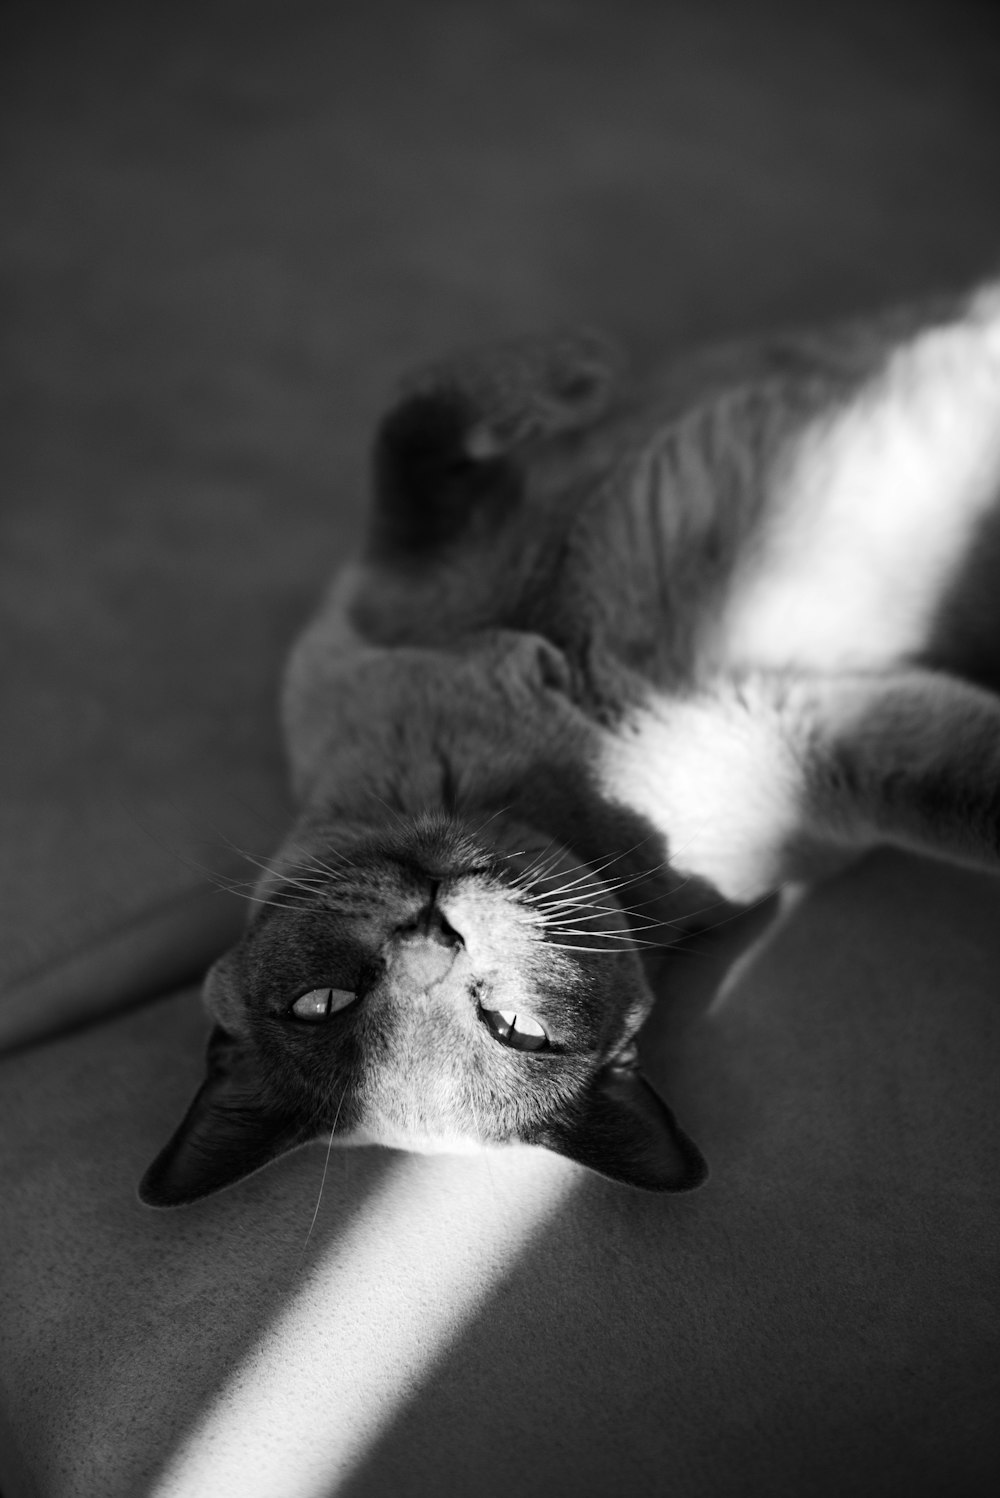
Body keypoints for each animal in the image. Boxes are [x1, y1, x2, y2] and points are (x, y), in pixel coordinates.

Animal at [138, 278, 999, 1204]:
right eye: (325, 1004)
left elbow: (419, 415)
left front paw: (583, 373)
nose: (433, 934)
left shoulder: (399, 564)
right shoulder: (830, 745)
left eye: (517, 1028)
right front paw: (585, 371)